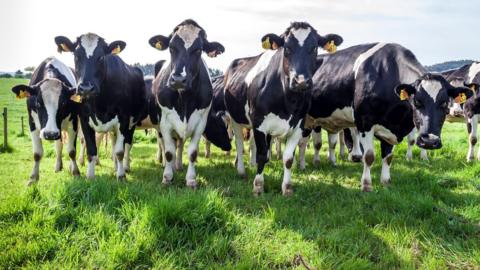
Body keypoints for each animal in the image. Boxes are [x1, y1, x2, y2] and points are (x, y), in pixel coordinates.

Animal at [10, 56, 79, 185]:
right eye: (38, 103)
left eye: (63, 104)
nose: (50, 134)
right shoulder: (32, 124)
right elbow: (37, 153)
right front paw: (33, 178)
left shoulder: (74, 123)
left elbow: (72, 151)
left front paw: (76, 173)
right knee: (59, 145)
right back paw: (58, 166)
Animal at [55, 34, 147, 181]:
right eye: (76, 55)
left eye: (101, 57)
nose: (86, 88)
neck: (100, 103)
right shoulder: (84, 120)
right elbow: (91, 150)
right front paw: (90, 176)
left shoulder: (124, 119)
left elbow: (120, 151)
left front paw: (121, 176)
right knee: (114, 142)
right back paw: (115, 166)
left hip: (132, 123)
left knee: (127, 145)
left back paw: (125, 167)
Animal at [148, 19, 225, 188]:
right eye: (171, 47)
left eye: (199, 49)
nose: (178, 79)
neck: (184, 98)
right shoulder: (165, 122)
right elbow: (169, 151)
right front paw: (167, 177)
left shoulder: (201, 122)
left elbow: (192, 153)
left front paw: (191, 179)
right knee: (166, 145)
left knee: (181, 144)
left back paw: (178, 166)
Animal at [224, 20, 342, 194]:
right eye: (286, 48)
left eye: (314, 48)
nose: (301, 82)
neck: (288, 101)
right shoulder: (259, 123)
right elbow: (261, 155)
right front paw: (258, 186)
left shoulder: (299, 125)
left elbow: (288, 158)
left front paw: (287, 187)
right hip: (235, 118)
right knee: (239, 143)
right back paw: (241, 171)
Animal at [302, 42, 470, 190]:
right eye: (417, 101)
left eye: (445, 103)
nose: (429, 141)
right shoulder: (364, 122)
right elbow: (369, 156)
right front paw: (366, 185)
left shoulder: (390, 128)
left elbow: (388, 157)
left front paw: (386, 182)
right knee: (306, 143)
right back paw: (305, 164)